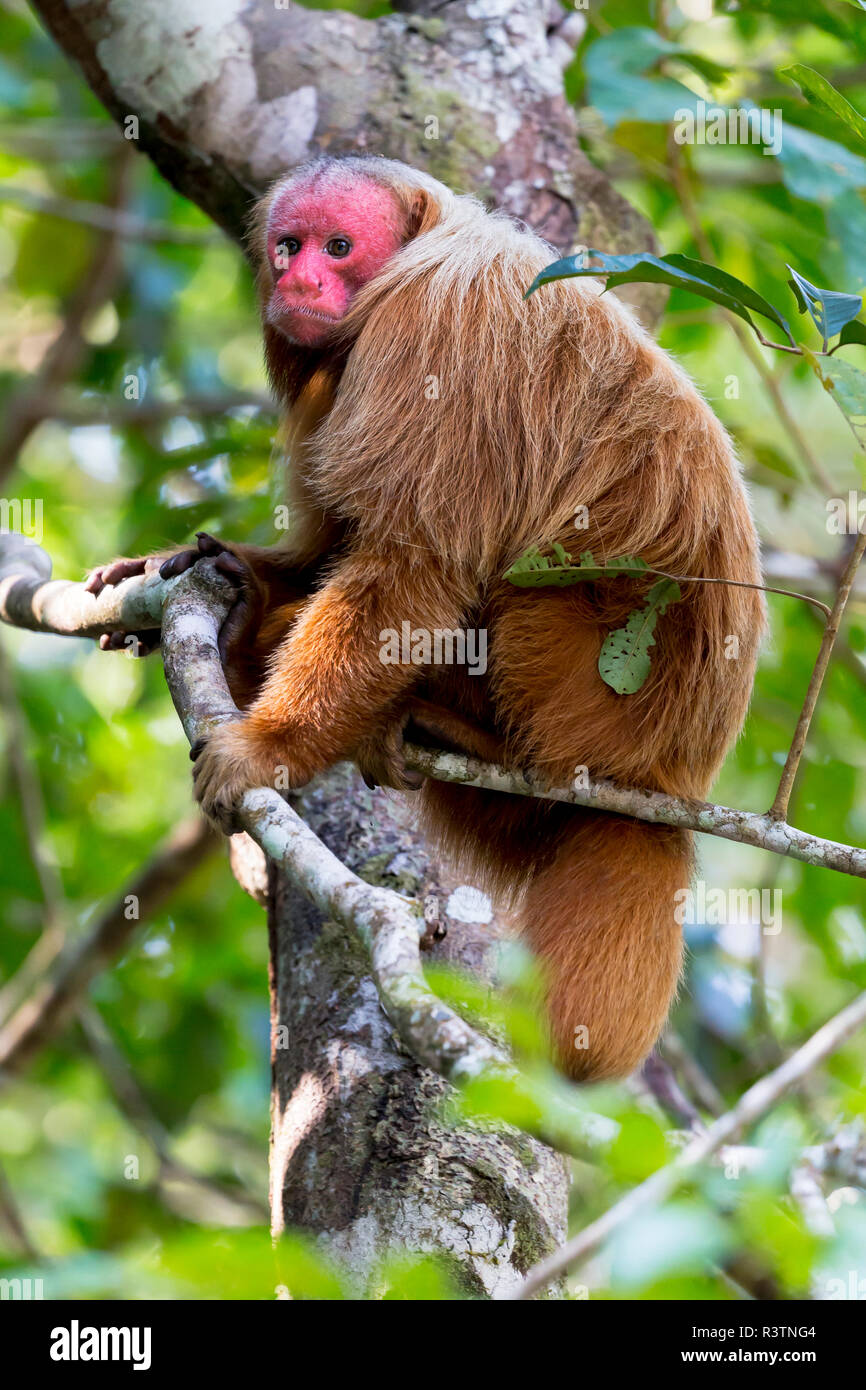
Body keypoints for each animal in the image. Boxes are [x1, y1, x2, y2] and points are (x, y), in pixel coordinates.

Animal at [88, 154, 767, 1084]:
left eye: (339, 248)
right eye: (289, 245)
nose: (298, 281)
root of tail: (674, 782)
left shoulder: (438, 333)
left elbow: (415, 568)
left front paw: (272, 744)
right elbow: (338, 539)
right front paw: (228, 571)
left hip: (604, 698)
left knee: (531, 583)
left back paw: (467, 732)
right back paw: (253, 629)